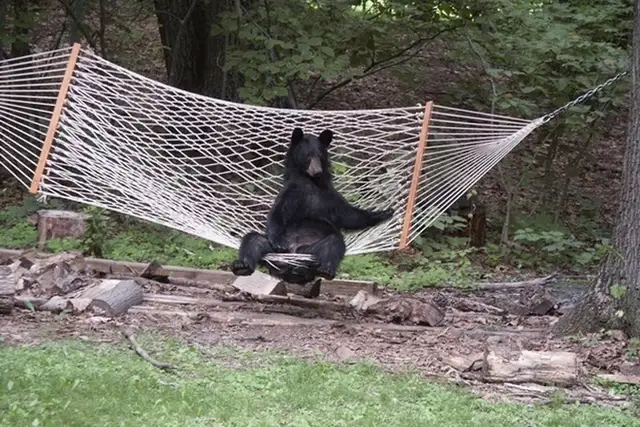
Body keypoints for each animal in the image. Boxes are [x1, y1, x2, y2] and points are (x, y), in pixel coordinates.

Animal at [231, 127, 394, 284]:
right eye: (307, 156)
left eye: (320, 156)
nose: (317, 171)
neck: (311, 182)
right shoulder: (293, 190)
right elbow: (277, 212)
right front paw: (277, 239)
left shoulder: (328, 194)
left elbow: (348, 215)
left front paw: (383, 212)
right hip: (275, 252)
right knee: (253, 240)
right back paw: (242, 266)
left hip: (310, 250)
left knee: (333, 244)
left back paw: (325, 269)